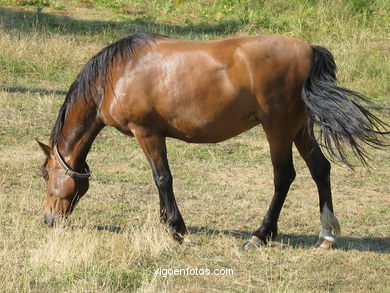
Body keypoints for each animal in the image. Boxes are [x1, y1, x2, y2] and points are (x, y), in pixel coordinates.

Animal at [37, 34, 386, 249]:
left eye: (44, 174)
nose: (48, 219)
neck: (115, 75)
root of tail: (310, 49)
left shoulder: (147, 132)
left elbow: (162, 178)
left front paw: (176, 229)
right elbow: (160, 180)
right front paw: (167, 222)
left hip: (278, 130)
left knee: (284, 176)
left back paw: (260, 235)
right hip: (299, 129)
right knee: (320, 169)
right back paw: (325, 235)